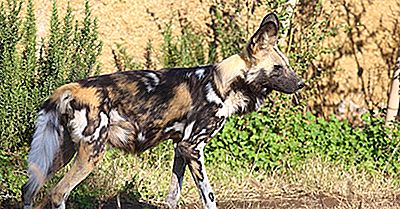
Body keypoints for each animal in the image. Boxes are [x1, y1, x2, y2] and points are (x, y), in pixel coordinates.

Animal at [21, 12, 304, 208]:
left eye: (288, 66)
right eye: (278, 68)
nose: (301, 83)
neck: (224, 83)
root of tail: (67, 89)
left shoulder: (180, 148)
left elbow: (172, 197)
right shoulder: (193, 147)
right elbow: (209, 197)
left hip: (63, 152)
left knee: (29, 189)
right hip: (91, 153)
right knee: (58, 193)